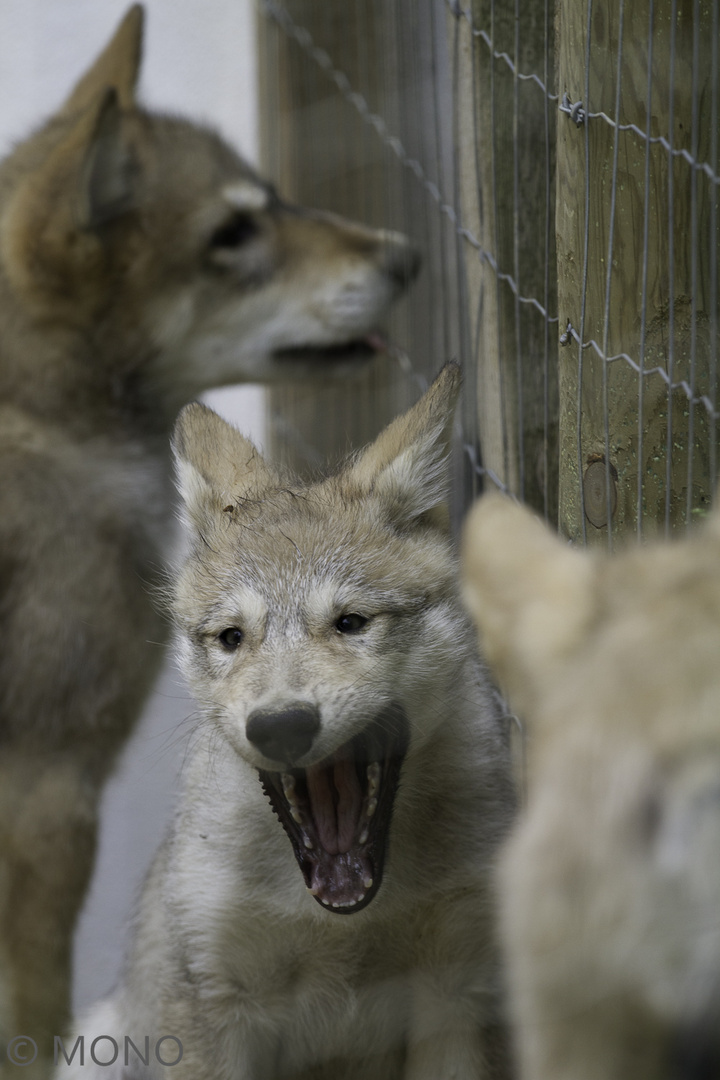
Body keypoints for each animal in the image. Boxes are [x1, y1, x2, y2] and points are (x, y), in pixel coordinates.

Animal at [0, 4, 423, 1067]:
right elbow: (30, 1024)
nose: (405, 257)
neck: (38, 415)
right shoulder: (51, 792)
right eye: (232, 232)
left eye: (271, 200)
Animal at [57, 365, 518, 1080]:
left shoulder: (460, 995)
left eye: (351, 622)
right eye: (231, 638)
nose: (280, 727)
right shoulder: (214, 1007)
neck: (343, 921)